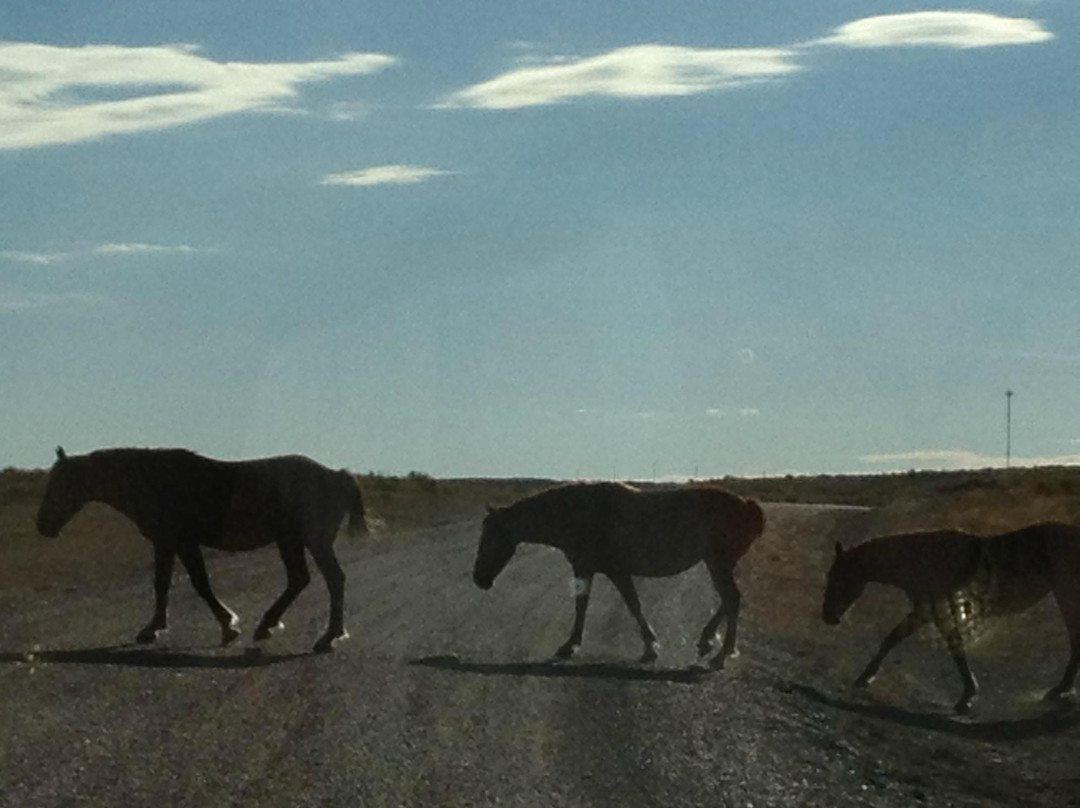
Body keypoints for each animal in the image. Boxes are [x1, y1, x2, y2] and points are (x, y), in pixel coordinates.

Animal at [36, 445, 367, 652]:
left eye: (61, 484)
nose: (42, 526)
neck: (155, 481)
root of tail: (337, 475)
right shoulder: (166, 543)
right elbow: (162, 584)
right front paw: (153, 628)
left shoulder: (183, 542)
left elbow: (200, 584)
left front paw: (228, 626)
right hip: (290, 540)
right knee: (299, 579)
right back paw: (268, 625)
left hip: (313, 541)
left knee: (333, 579)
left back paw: (328, 637)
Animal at [475, 483, 768, 665]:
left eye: (491, 537)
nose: (479, 579)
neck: (578, 513)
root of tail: (748, 506)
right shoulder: (587, 569)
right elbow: (585, 605)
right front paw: (572, 644)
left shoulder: (615, 572)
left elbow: (631, 605)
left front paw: (650, 647)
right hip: (715, 564)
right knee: (729, 601)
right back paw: (708, 641)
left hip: (718, 564)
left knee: (732, 599)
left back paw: (720, 653)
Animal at [820, 520, 1080, 708]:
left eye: (839, 578)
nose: (828, 617)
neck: (921, 558)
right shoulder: (928, 611)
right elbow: (902, 639)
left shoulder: (933, 609)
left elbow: (945, 646)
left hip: (1067, 595)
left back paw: (1061, 688)